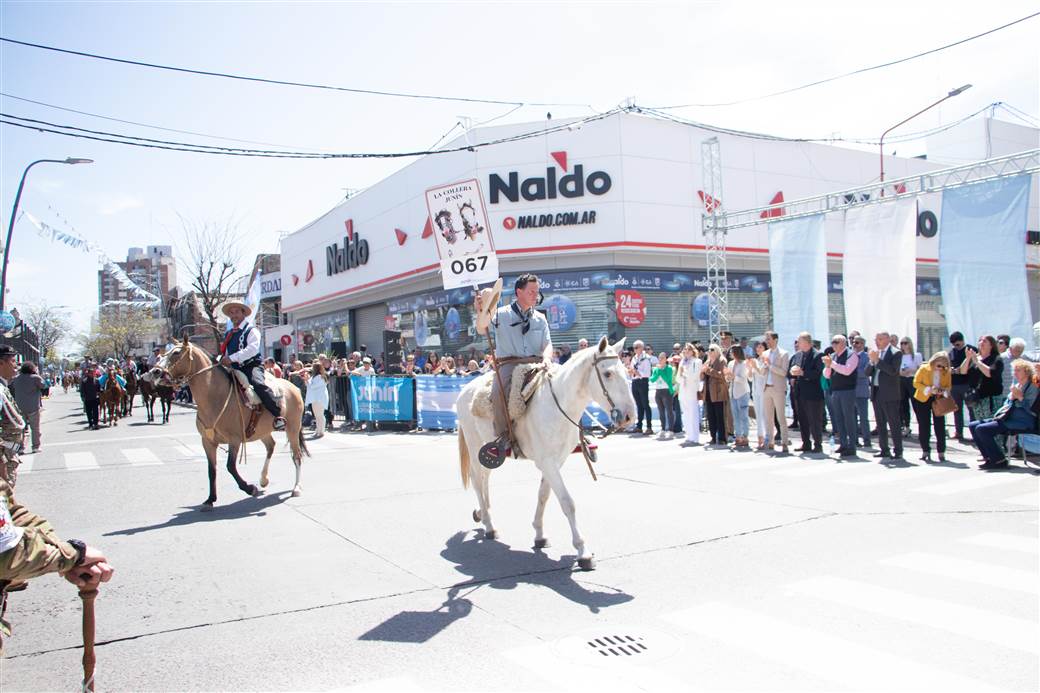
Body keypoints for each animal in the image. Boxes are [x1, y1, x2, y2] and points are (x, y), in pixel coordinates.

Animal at [156, 335, 305, 507]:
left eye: (176, 353)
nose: (156, 371)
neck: (215, 396)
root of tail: (293, 387)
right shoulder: (207, 441)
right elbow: (212, 470)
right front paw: (210, 499)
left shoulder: (235, 440)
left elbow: (230, 467)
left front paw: (249, 488)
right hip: (262, 431)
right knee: (271, 447)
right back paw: (263, 479)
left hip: (293, 428)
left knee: (297, 456)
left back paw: (296, 488)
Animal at [455, 335, 632, 566]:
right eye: (608, 373)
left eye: (627, 372)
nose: (629, 416)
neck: (559, 405)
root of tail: (464, 390)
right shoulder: (547, 462)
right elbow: (567, 502)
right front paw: (582, 551)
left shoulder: (556, 461)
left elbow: (543, 495)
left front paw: (539, 534)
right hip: (476, 446)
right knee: (477, 481)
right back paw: (490, 526)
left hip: (489, 451)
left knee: (485, 479)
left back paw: (483, 515)